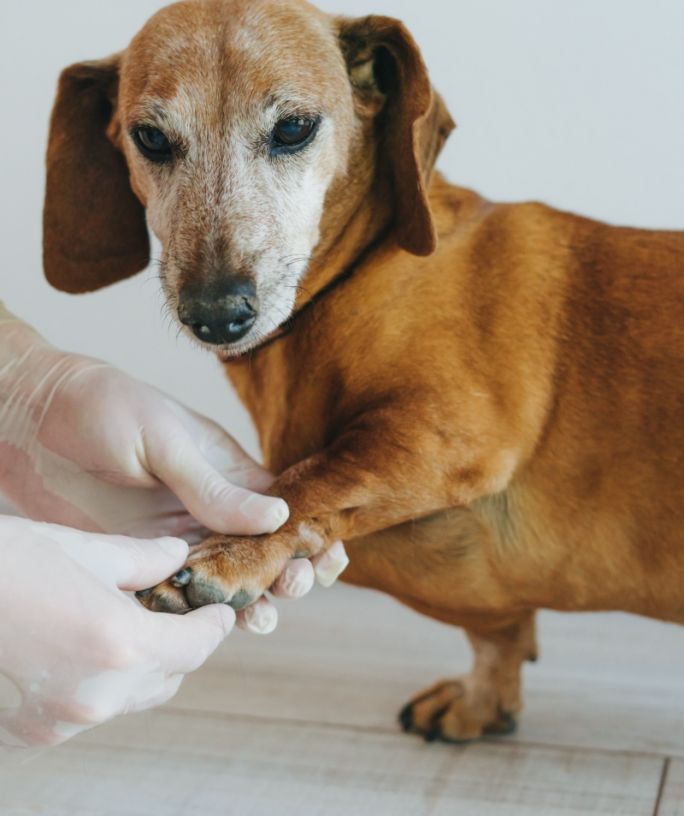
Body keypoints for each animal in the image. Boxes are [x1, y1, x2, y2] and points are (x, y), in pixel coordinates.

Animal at [44, 0, 684, 744]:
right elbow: (496, 631)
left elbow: (310, 481)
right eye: (149, 137)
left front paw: (231, 553)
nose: (216, 313)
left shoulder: (446, 431)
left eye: (293, 128)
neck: (358, 274)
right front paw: (483, 697)